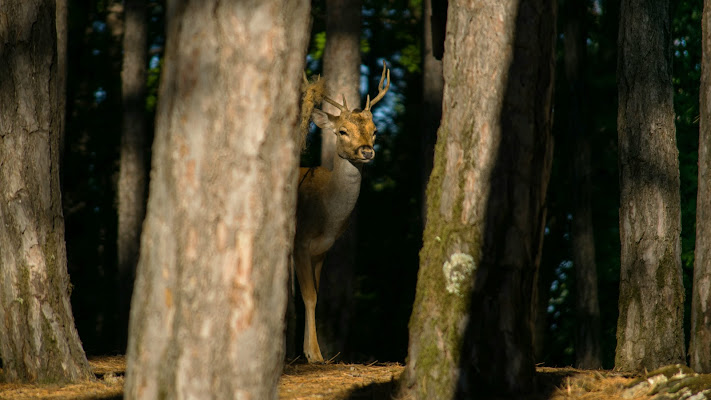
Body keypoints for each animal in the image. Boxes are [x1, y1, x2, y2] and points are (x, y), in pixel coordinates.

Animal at [294, 61, 392, 362]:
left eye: (375, 130)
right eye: (342, 131)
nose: (367, 151)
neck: (327, 216)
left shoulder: (322, 249)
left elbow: (314, 295)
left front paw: (310, 351)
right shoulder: (300, 242)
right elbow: (309, 296)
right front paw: (315, 355)